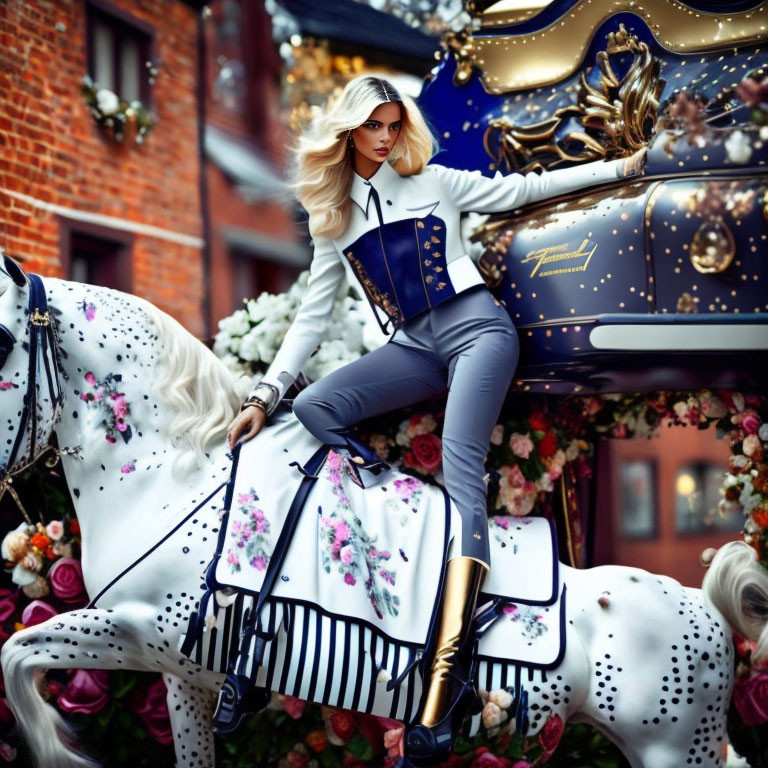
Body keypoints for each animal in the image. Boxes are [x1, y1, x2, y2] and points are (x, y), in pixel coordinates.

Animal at [0, 254, 764, 768]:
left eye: (3, 340)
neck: (180, 474)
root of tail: (704, 607)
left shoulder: (136, 631)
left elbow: (17, 654)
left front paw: (61, 753)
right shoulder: (183, 676)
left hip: (674, 750)